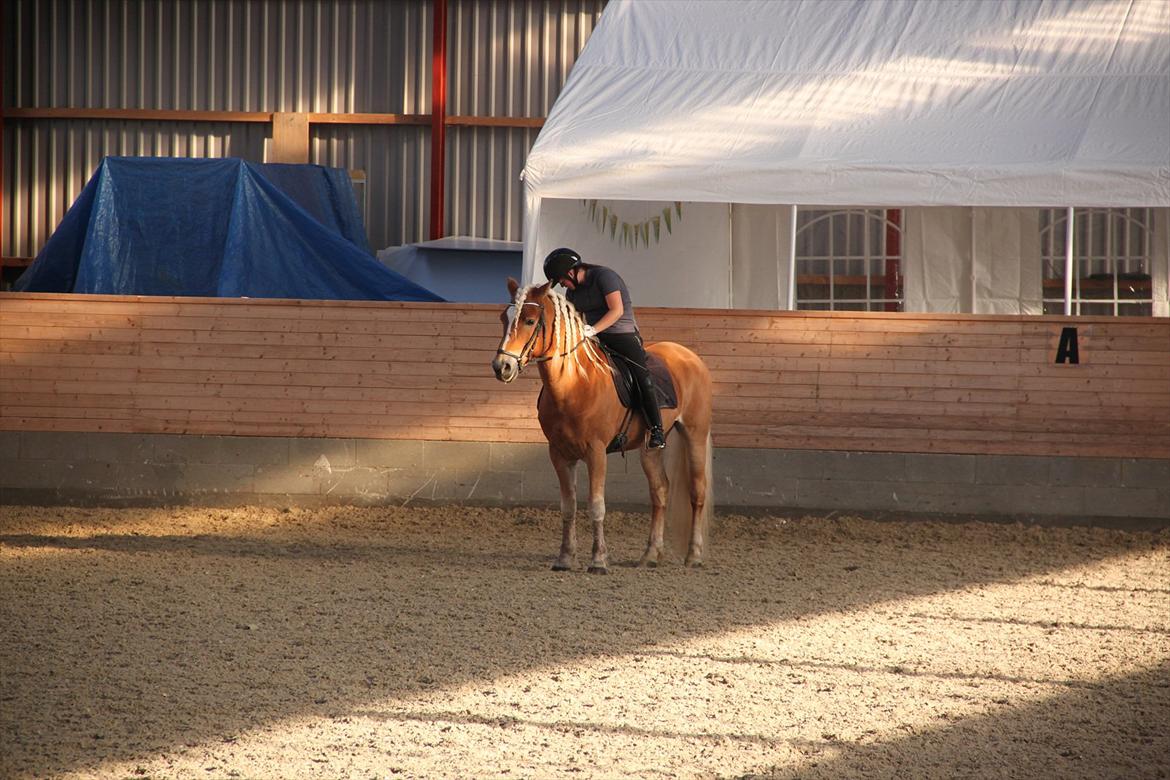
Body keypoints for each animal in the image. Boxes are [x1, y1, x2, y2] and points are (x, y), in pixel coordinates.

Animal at [486, 277, 711, 570]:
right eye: (505, 317)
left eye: (530, 320)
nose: (501, 366)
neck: (574, 384)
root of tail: (689, 356)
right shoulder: (559, 454)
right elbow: (568, 507)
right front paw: (565, 557)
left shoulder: (596, 452)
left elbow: (596, 505)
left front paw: (599, 560)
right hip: (650, 448)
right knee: (660, 490)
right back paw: (650, 554)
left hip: (695, 434)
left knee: (697, 491)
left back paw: (694, 555)